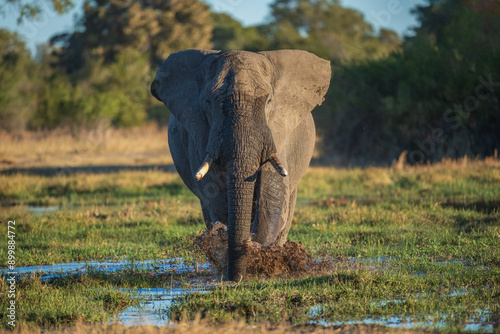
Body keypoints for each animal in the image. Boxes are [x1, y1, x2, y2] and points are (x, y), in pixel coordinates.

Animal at [150, 49, 334, 280]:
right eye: (208, 102)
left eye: (269, 101)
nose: (234, 276)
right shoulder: (201, 136)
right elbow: (217, 197)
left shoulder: (277, 132)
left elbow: (271, 196)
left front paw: (257, 257)